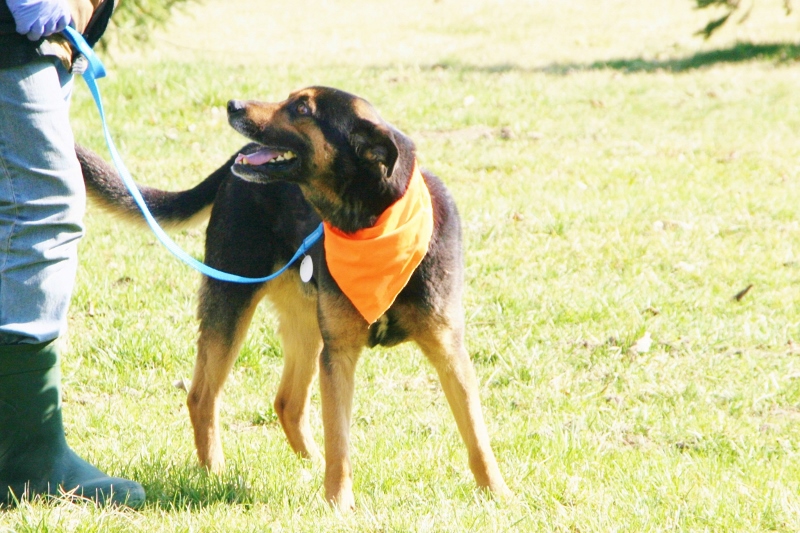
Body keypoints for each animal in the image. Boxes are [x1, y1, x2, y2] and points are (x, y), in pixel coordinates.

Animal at [77, 86, 510, 510]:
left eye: (302, 108)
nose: (232, 104)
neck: (370, 221)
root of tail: (235, 159)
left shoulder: (448, 350)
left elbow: (476, 435)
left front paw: (497, 494)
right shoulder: (339, 354)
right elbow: (340, 442)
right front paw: (338, 504)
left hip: (305, 324)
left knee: (287, 401)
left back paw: (309, 464)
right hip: (231, 300)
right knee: (202, 397)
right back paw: (214, 473)